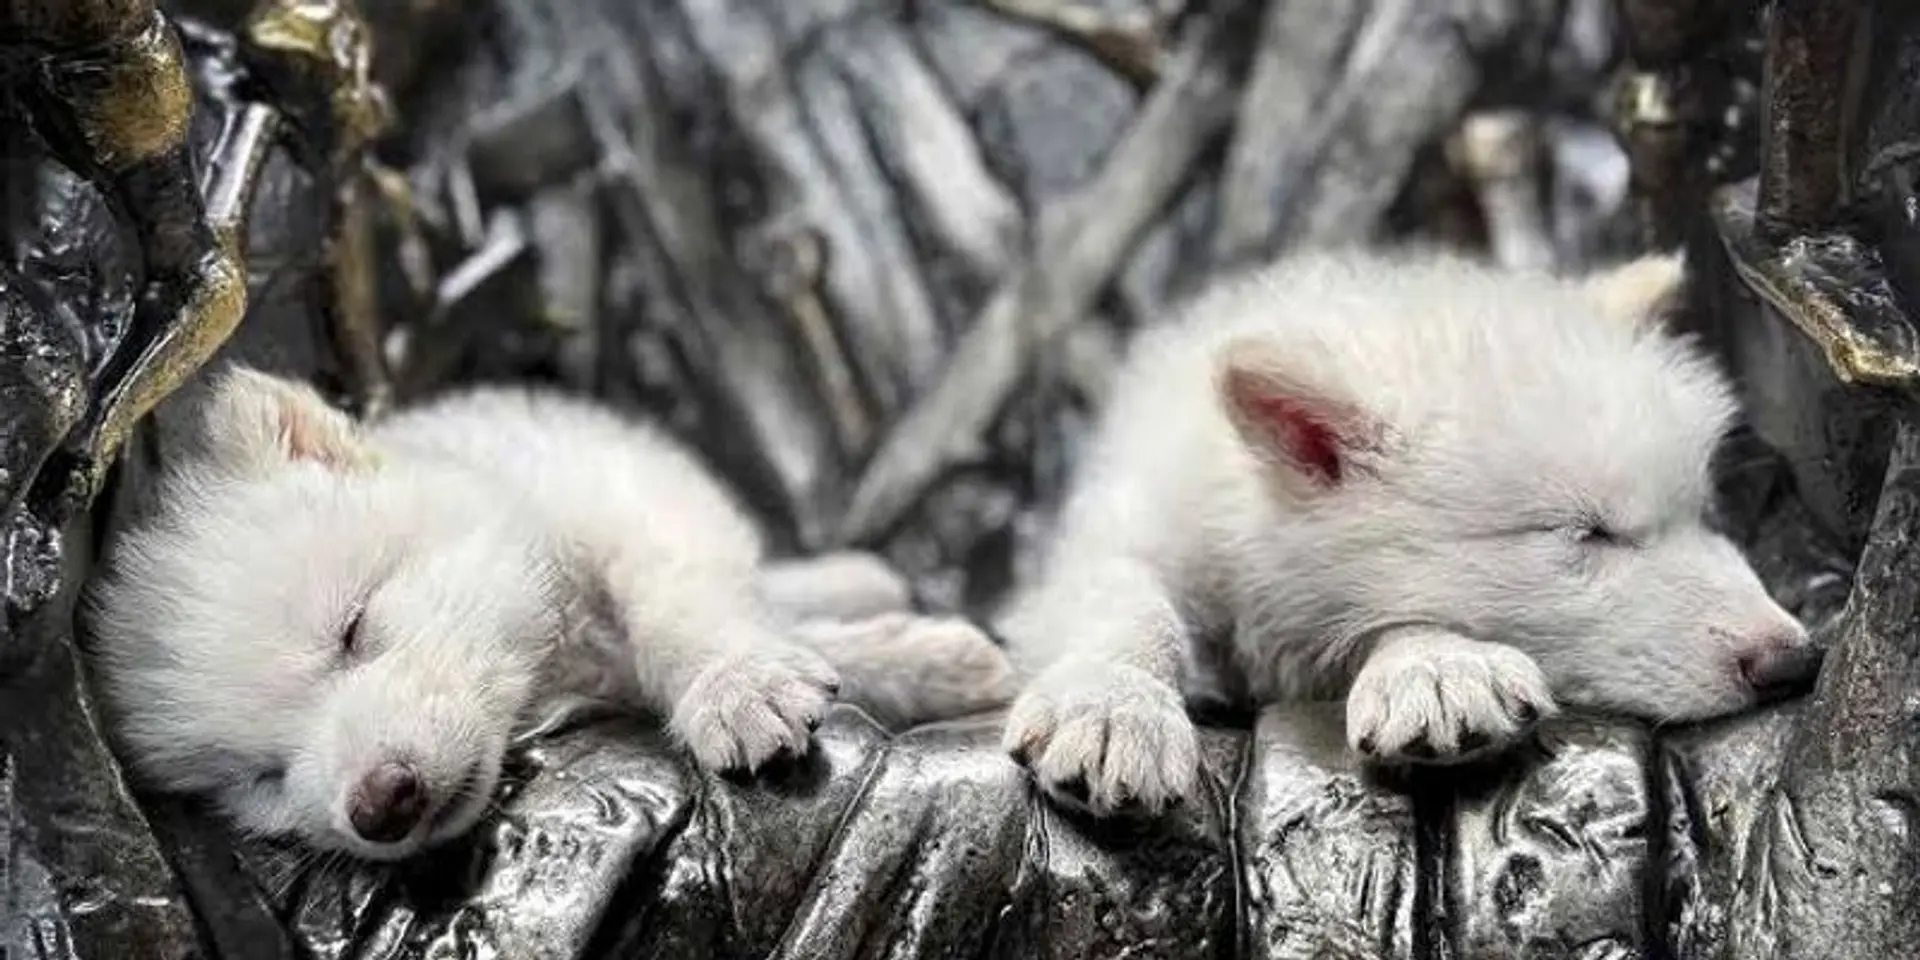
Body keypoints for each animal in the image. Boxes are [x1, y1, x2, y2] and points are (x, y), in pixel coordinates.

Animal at [85, 369, 1014, 860]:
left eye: (353, 628)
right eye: (262, 778)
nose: (379, 805)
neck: (551, 660)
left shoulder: (632, 505)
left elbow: (682, 609)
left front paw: (738, 685)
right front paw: (919, 663)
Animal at [997, 249, 1819, 818]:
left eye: (1702, 514)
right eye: (1587, 533)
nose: (1795, 662)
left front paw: (1435, 666)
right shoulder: (1125, 527)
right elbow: (1129, 602)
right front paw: (1111, 705)